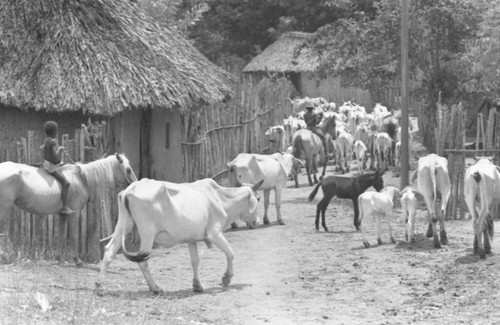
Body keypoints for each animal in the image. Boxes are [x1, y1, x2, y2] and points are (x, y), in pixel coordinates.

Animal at [95, 177, 264, 294]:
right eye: (258, 198)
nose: (257, 221)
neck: (220, 198)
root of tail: (131, 189)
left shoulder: (192, 239)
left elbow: (195, 261)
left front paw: (197, 285)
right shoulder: (214, 233)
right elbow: (230, 252)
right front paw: (226, 279)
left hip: (123, 226)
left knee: (109, 251)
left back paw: (99, 286)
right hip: (147, 233)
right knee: (143, 262)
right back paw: (155, 288)